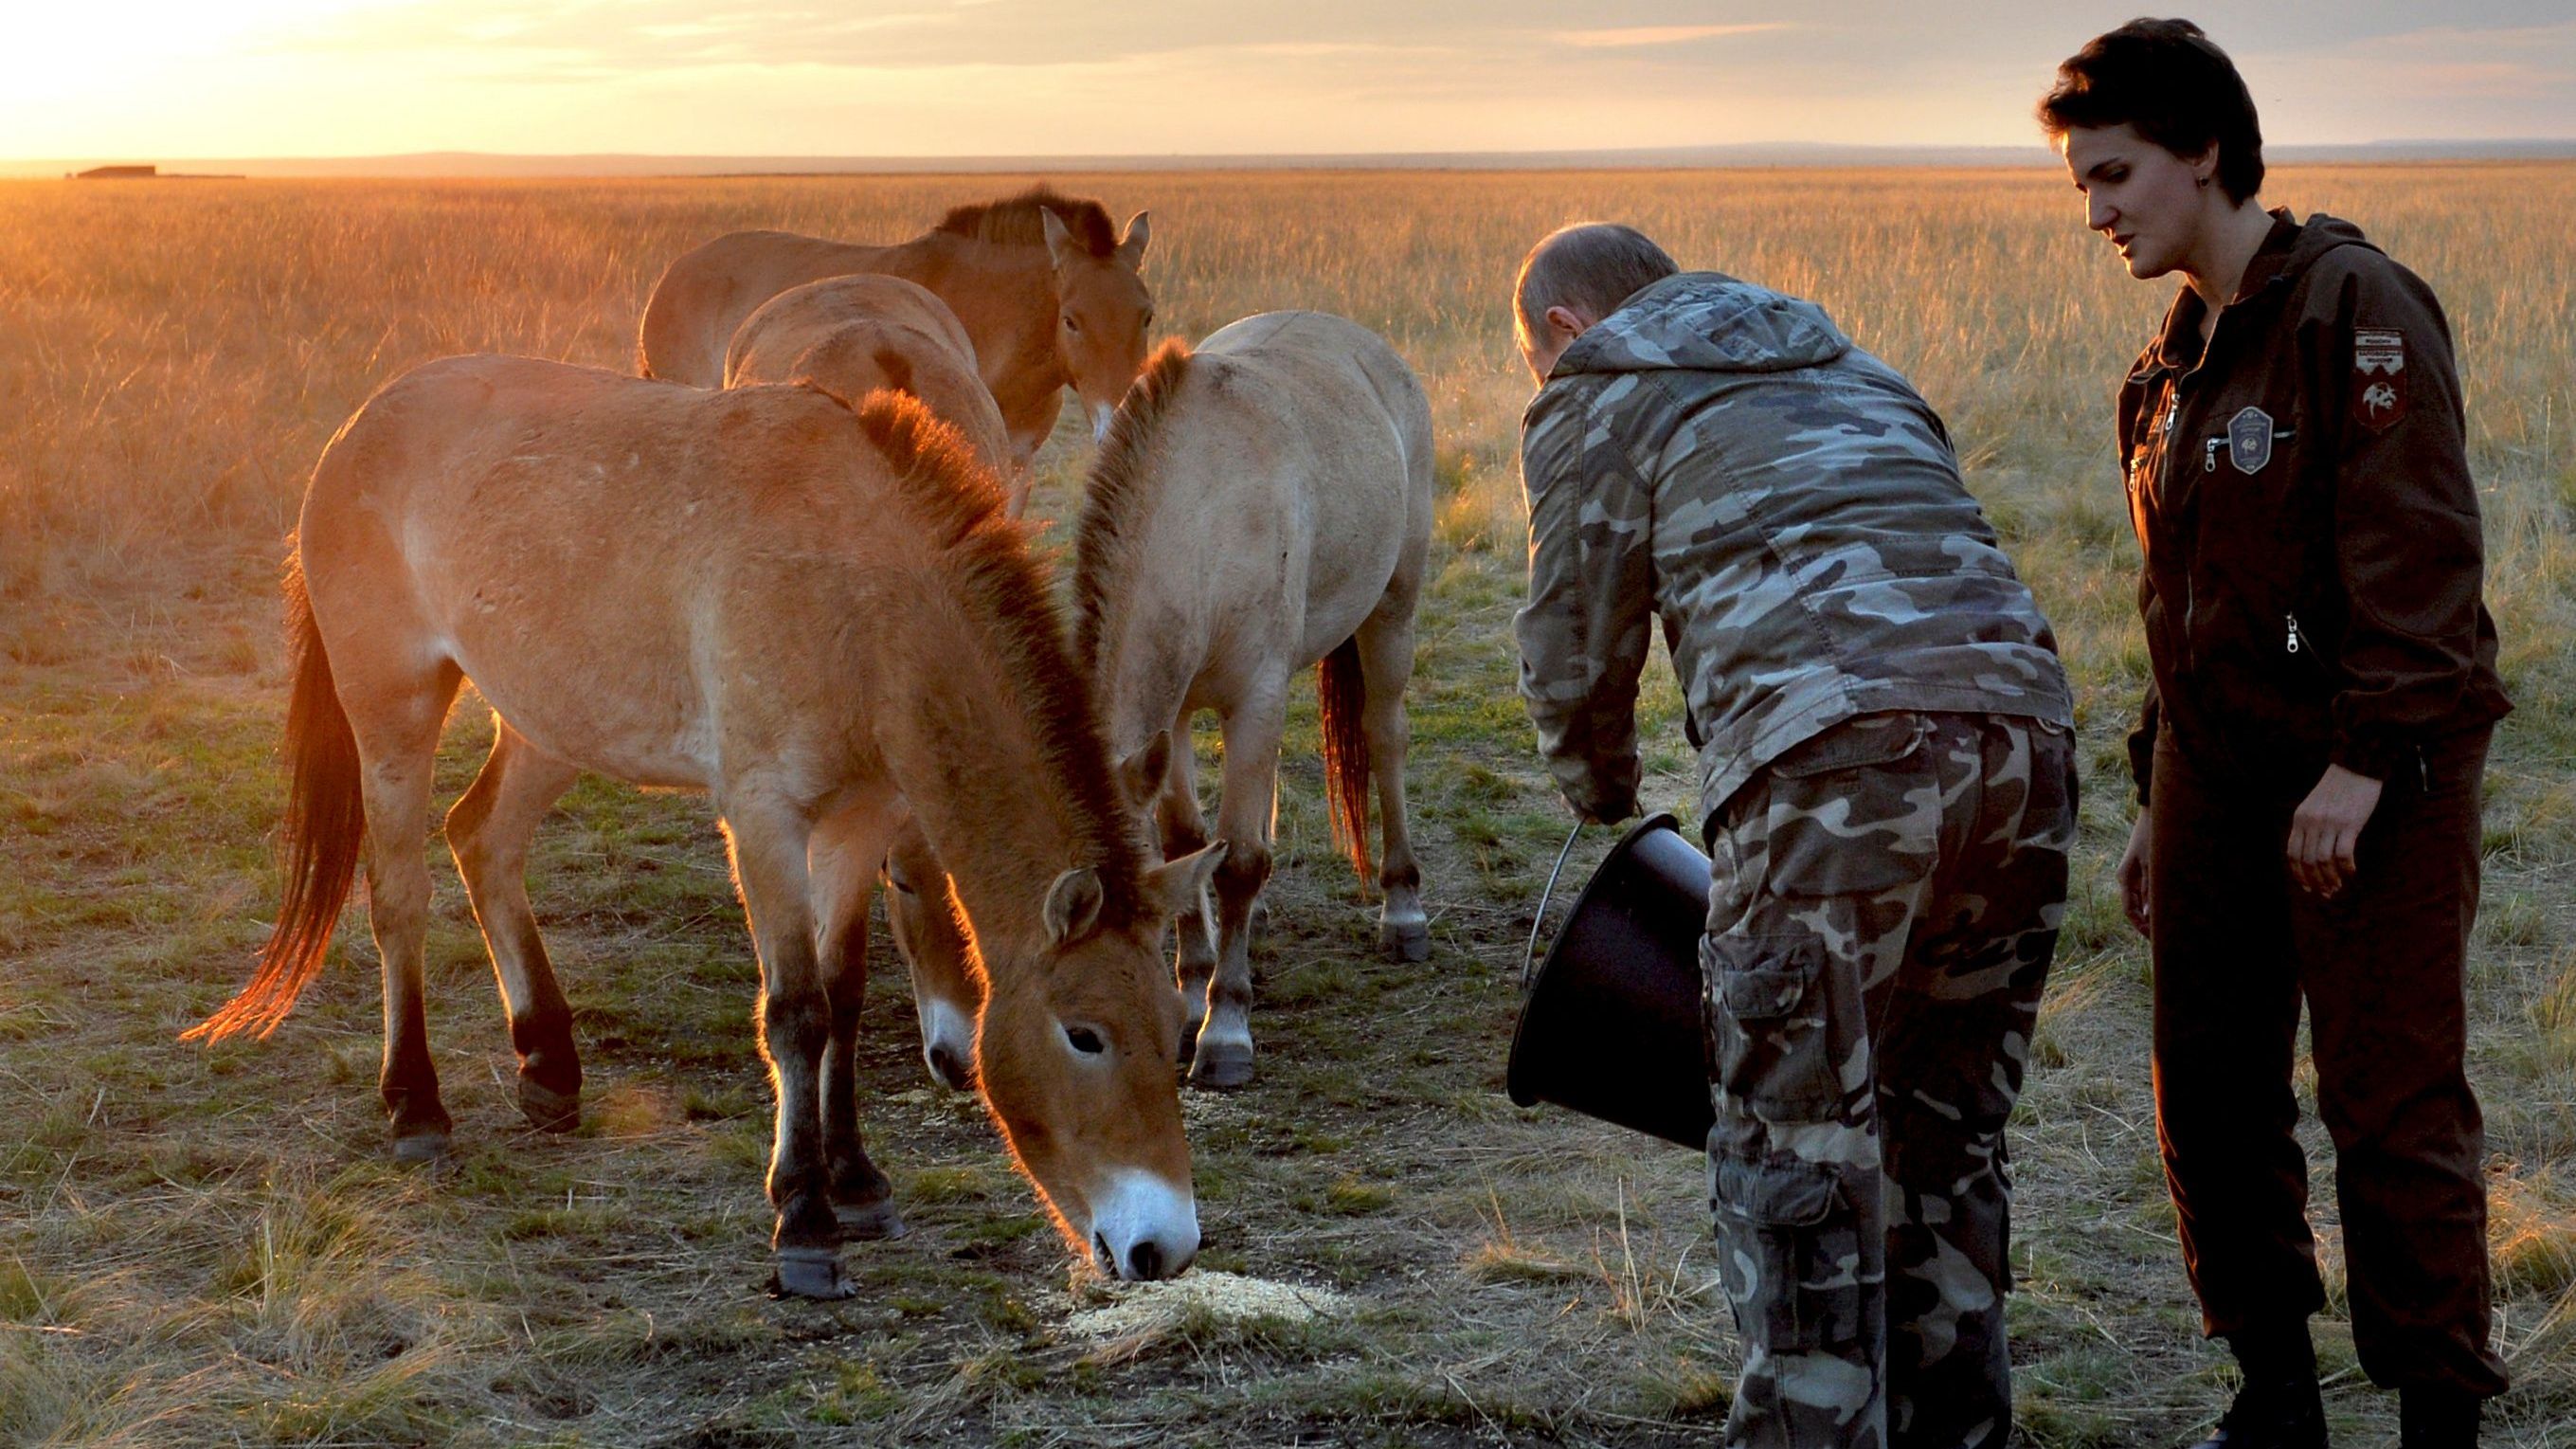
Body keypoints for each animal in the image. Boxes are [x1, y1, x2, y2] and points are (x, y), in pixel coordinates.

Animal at [188, 363, 1216, 1299]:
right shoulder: (763, 817)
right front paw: (803, 1219)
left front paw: (855, 1178)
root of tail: (360, 422)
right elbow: (796, 1010)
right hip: (393, 707)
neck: (858, 592)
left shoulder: (857, 820)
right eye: (1083, 1033)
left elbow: (843, 994)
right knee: (400, 893)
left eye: (1176, 1027)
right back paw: (414, 1107)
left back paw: (548, 1060)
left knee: (481, 837)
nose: (1162, 1245)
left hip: (552, 720)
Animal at [1061, 316, 1432, 1082]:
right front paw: (1192, 989)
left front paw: (1225, 1028)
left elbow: (1237, 862)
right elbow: (1185, 842)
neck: (1201, 514)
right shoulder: (1170, 720)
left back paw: (1403, 908)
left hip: (1392, 614)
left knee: (1384, 739)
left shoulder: (1254, 697)